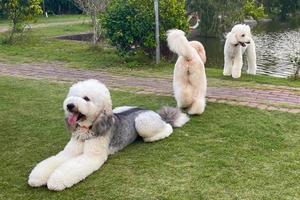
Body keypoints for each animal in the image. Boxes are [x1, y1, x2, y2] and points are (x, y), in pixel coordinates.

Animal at [27, 78, 188, 191]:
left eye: (86, 98)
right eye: (72, 96)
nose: (69, 105)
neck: (86, 130)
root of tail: (147, 110)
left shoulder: (92, 156)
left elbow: (71, 167)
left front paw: (56, 181)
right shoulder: (69, 152)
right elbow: (54, 161)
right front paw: (37, 176)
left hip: (142, 122)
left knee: (167, 126)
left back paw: (157, 135)